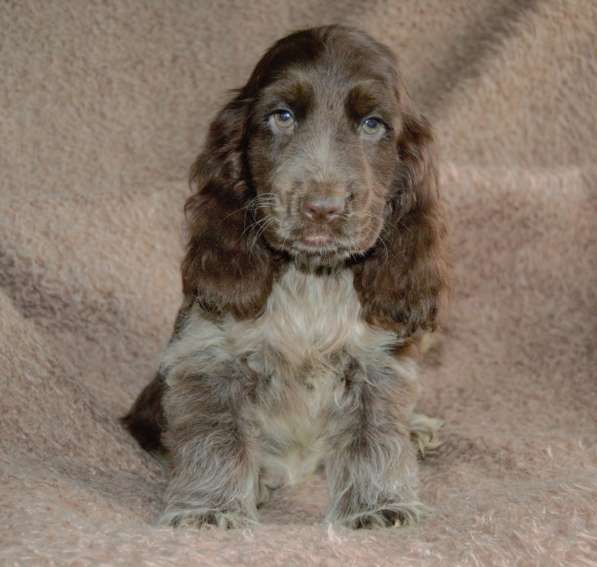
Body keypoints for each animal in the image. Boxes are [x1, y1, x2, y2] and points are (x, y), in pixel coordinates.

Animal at [123, 25, 444, 532]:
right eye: (282, 116)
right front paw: (210, 509)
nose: (322, 208)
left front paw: (377, 506)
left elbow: (373, 432)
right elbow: (216, 435)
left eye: (372, 124)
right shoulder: (208, 355)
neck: (311, 276)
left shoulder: (377, 361)